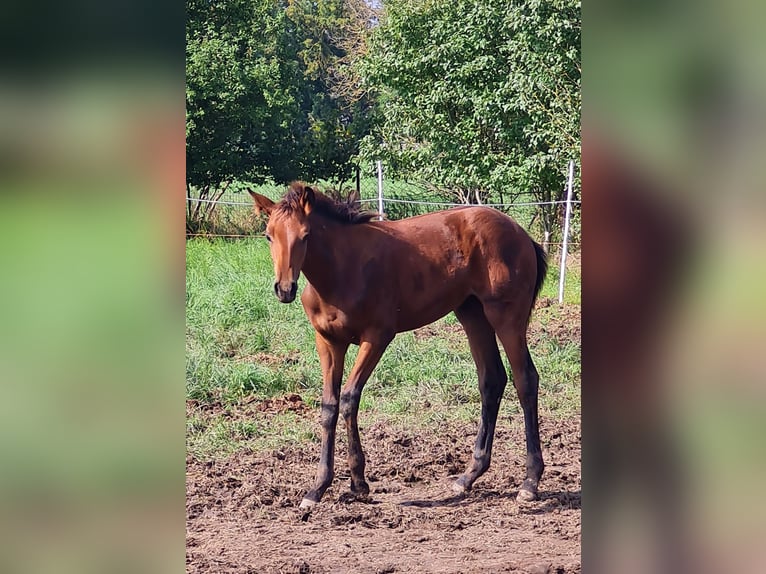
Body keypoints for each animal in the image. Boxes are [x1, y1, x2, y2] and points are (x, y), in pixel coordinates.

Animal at [249, 182, 548, 510]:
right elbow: (329, 406)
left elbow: (350, 398)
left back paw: (530, 482)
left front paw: (359, 483)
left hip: (506, 316)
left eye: (305, 235)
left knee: (525, 380)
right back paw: (468, 476)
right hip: (473, 314)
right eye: (268, 235)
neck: (342, 270)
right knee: (492, 380)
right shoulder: (329, 342)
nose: (284, 289)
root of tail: (520, 232)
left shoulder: (377, 337)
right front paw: (317, 489)